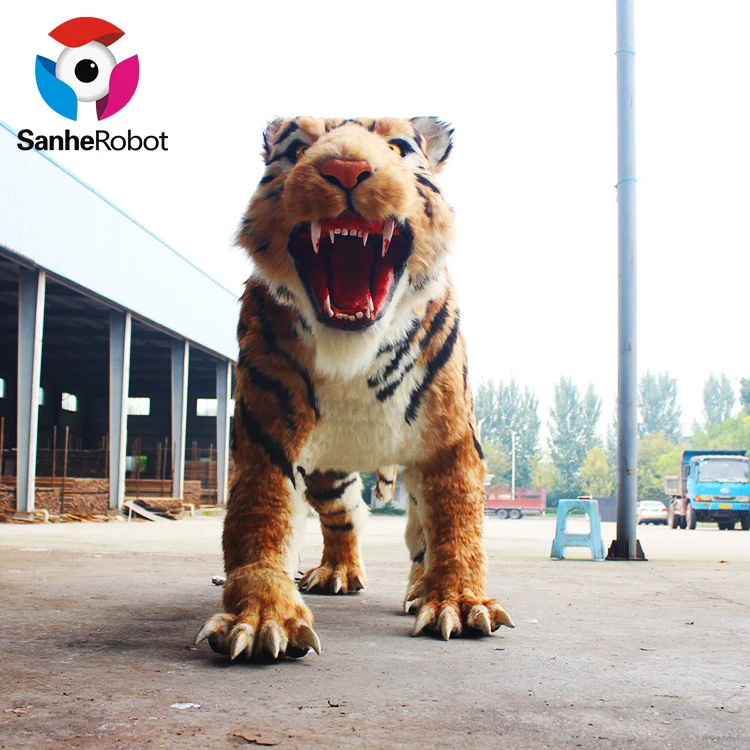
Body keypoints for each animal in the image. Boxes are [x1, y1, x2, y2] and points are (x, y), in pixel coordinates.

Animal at [194, 117, 514, 661]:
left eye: (400, 147)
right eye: (297, 148)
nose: (346, 168)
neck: (354, 358)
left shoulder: (451, 441)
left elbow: (456, 523)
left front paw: (458, 602)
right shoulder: (267, 434)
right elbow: (260, 518)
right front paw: (259, 618)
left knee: (419, 533)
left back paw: (419, 589)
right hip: (329, 478)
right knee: (347, 516)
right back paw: (337, 573)